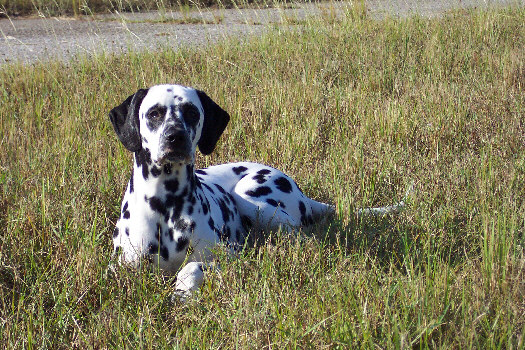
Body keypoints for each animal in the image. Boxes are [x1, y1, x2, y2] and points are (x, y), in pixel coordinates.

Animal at [109, 83, 336, 300]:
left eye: (192, 112)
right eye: (154, 113)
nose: (175, 136)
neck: (166, 202)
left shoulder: (229, 253)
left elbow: (192, 266)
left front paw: (183, 292)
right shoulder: (121, 266)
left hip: (250, 199)